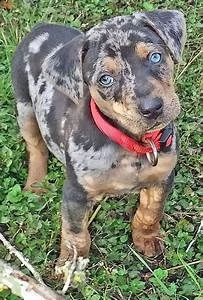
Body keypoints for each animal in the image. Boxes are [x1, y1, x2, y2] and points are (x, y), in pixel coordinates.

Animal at [11, 9, 186, 268]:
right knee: (36, 146)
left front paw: (146, 238)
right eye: (105, 79)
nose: (152, 108)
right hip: (24, 107)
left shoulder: (162, 177)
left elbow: (150, 211)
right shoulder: (76, 192)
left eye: (155, 57)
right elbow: (75, 233)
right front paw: (71, 264)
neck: (130, 144)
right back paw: (35, 184)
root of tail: (40, 28)